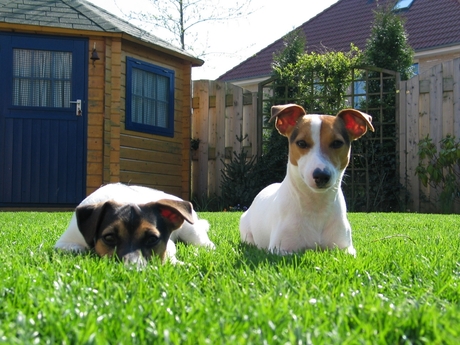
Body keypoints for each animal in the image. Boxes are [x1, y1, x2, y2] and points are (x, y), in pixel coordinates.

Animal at [55, 184, 214, 264]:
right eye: (109, 237)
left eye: (152, 239)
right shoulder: (64, 243)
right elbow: (77, 249)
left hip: (192, 232)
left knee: (206, 244)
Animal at [241, 103, 374, 254]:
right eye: (301, 143)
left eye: (337, 143)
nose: (321, 175)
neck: (316, 204)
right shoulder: (280, 250)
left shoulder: (345, 248)